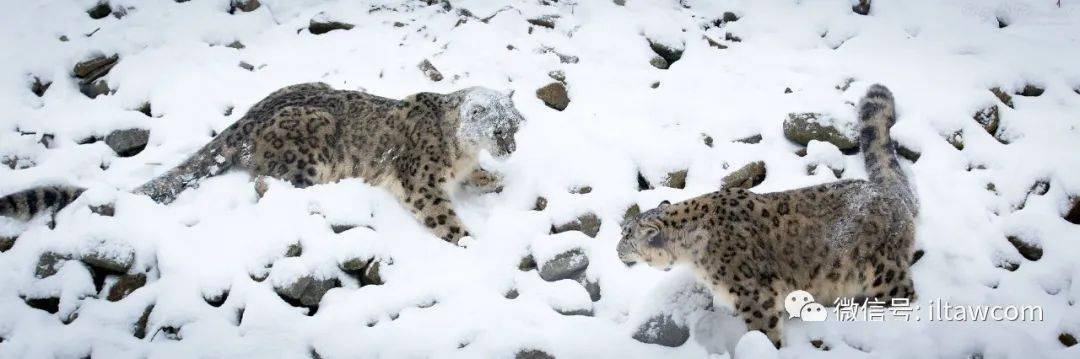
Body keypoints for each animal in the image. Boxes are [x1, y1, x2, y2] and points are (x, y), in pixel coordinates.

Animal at [0, 82, 522, 244]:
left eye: (515, 124)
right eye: (500, 127)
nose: (512, 147)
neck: (460, 150)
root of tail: (247, 119)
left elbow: (477, 177)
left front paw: (495, 179)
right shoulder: (421, 182)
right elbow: (440, 213)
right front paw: (469, 241)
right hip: (309, 145)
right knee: (266, 183)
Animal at [622, 84, 915, 348]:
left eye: (626, 236)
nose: (617, 251)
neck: (692, 252)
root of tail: (889, 193)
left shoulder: (754, 293)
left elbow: (762, 330)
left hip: (881, 269)